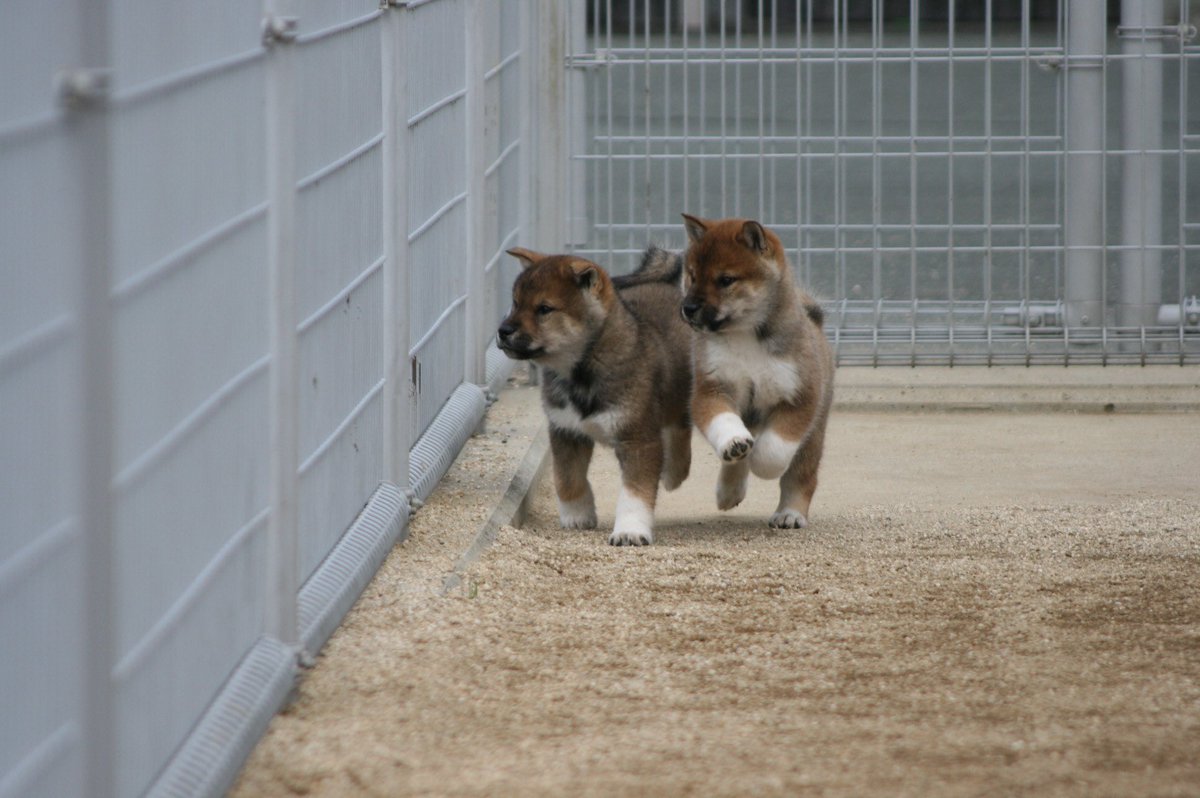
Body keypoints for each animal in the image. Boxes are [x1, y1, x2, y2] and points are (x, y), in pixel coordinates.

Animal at [494, 247, 691, 547]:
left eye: (544, 309)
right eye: (515, 303)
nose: (503, 331)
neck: (582, 374)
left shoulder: (637, 439)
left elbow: (635, 493)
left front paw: (630, 531)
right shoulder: (566, 431)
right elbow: (567, 479)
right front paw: (577, 516)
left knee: (680, 432)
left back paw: (673, 471)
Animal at [676, 216, 835, 528]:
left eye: (726, 280)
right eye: (692, 276)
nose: (688, 308)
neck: (745, 336)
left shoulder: (800, 397)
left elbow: (772, 451)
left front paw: (761, 462)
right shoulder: (712, 389)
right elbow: (724, 424)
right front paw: (734, 444)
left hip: (814, 434)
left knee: (801, 475)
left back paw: (790, 513)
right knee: (737, 456)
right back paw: (730, 488)